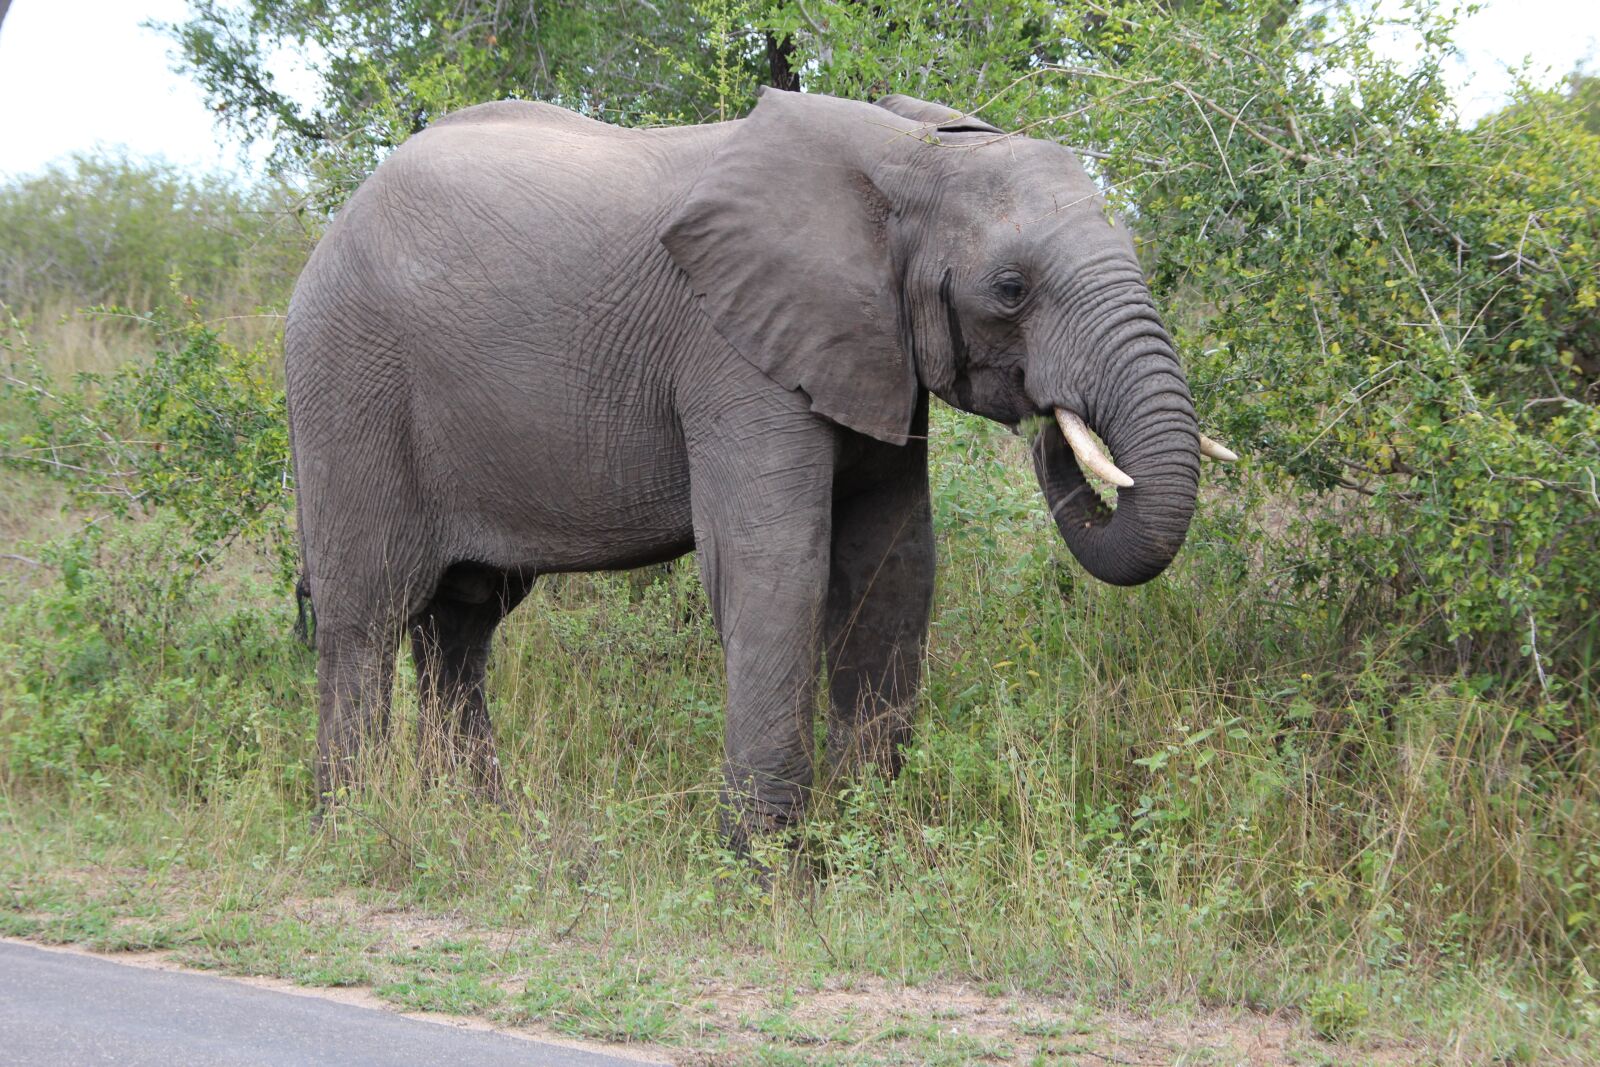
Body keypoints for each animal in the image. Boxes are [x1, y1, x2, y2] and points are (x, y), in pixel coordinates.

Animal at [285, 87, 1233, 846]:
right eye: (1010, 289)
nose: (1053, 433)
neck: (904, 154)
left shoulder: (866, 347)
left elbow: (895, 569)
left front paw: (870, 844)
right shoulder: (733, 351)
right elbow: (774, 566)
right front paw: (769, 869)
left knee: (463, 622)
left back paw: (486, 824)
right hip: (349, 379)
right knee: (369, 609)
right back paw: (354, 830)